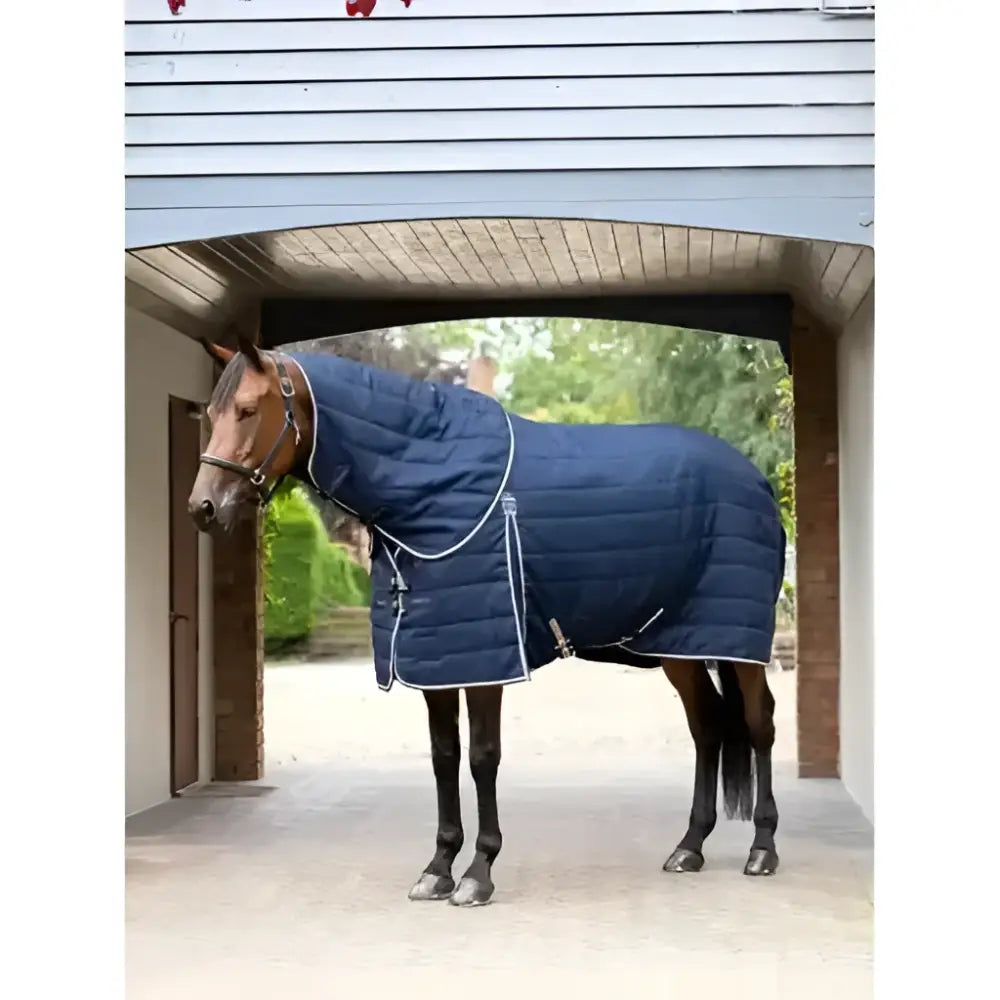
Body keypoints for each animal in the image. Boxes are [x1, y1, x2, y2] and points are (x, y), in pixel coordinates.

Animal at [188, 336, 785, 907]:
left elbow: (482, 758)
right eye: (210, 414)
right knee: (707, 727)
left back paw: (762, 848)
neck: (434, 485)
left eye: (247, 409)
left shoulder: (485, 660)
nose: (203, 508)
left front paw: (478, 872)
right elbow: (444, 757)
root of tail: (755, 479)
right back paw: (690, 847)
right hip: (677, 644)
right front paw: (437, 869)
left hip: (737, 644)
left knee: (759, 723)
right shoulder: (435, 661)